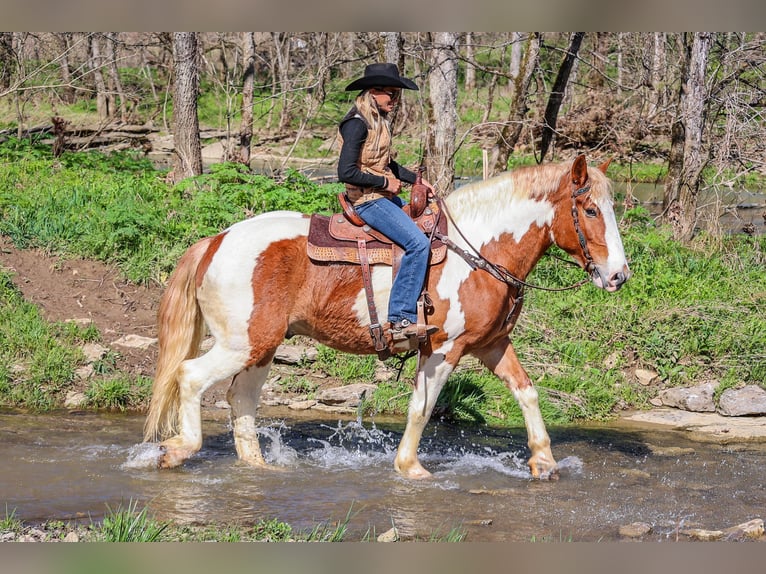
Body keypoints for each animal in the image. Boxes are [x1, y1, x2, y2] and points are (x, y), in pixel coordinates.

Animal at [144, 154, 632, 482]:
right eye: (591, 210)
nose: (618, 276)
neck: (479, 251)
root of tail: (216, 240)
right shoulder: (443, 348)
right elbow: (422, 406)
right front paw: (410, 467)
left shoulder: (491, 345)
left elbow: (527, 392)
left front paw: (544, 461)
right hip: (241, 343)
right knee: (189, 376)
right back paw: (178, 450)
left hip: (261, 346)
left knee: (241, 398)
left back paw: (259, 466)